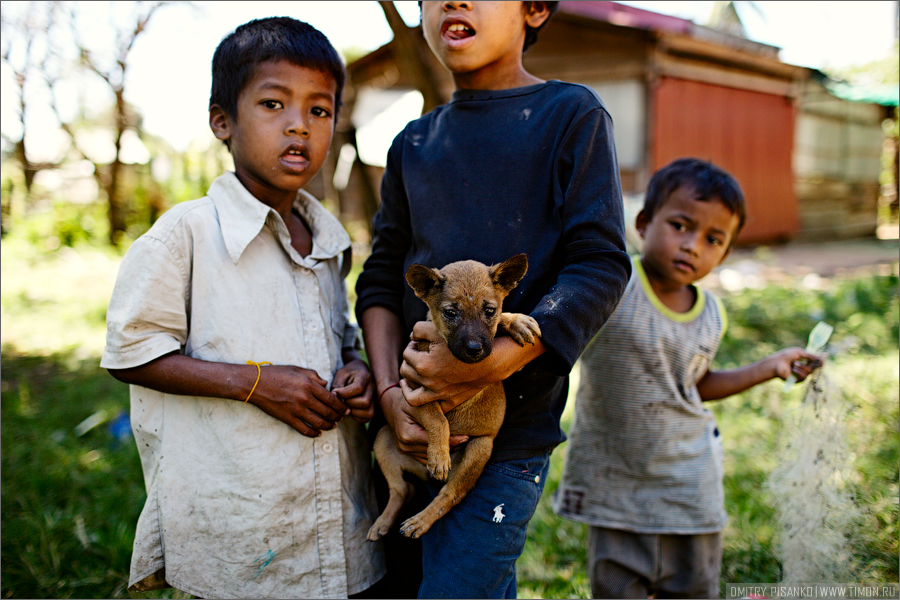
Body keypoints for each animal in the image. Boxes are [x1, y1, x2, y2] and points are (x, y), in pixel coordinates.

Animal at [366, 253, 540, 540]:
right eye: (450, 313)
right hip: (382, 439)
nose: (474, 349)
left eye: (489, 311)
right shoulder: (415, 392)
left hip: (479, 449)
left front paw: (514, 321)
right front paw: (439, 455)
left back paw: (420, 520)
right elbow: (437, 418)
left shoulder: (510, 364)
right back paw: (385, 523)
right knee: (402, 489)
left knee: (450, 495)